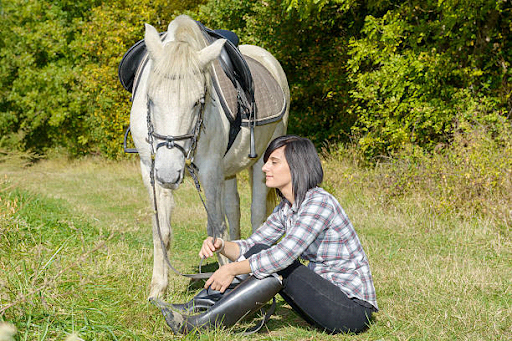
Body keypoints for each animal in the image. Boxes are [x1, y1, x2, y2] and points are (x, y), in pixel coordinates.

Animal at [130, 15, 290, 298]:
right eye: (150, 99)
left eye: (198, 101)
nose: (169, 174)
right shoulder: (151, 168)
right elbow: (161, 230)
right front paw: (158, 289)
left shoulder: (209, 170)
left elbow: (216, 229)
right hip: (227, 173)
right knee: (234, 210)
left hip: (262, 163)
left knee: (256, 214)